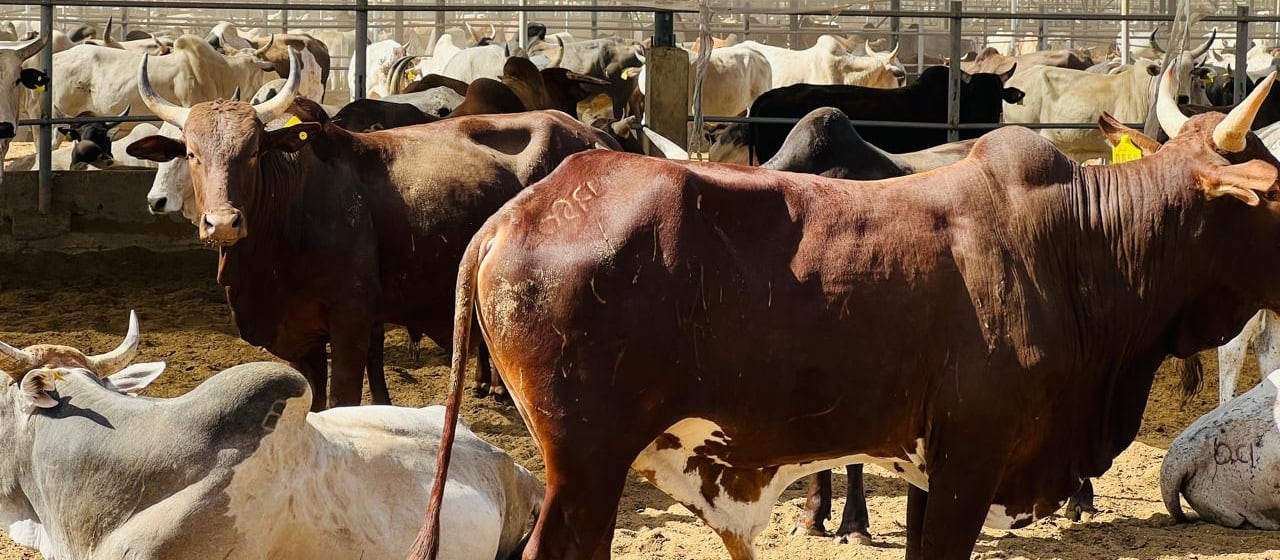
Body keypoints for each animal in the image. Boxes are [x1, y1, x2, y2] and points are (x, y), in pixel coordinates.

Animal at [127, 51, 619, 410]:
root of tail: (596, 137)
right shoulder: (303, 339)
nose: (223, 222)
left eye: (253, 151)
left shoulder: (351, 322)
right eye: (191, 152)